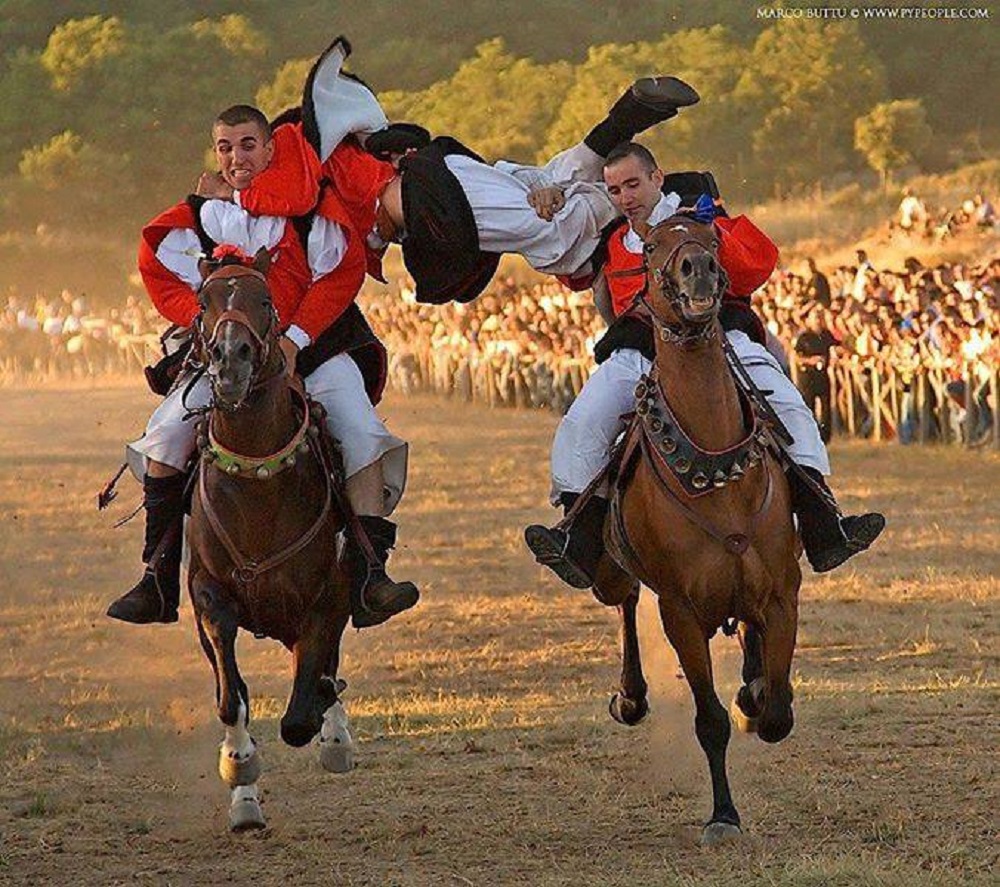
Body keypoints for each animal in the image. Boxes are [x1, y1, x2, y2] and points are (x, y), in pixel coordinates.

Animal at [187, 253, 355, 831]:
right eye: (204, 301)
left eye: (264, 299)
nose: (229, 361)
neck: (258, 483)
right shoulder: (209, 596)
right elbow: (229, 697)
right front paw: (240, 770)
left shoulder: (328, 598)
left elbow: (302, 712)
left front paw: (329, 727)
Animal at [591, 214, 802, 846]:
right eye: (652, 249)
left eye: (712, 240)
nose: (699, 269)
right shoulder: (681, 611)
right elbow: (710, 720)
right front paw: (724, 815)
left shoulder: (781, 594)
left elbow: (777, 709)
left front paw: (757, 696)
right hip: (614, 574)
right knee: (625, 602)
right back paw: (631, 696)